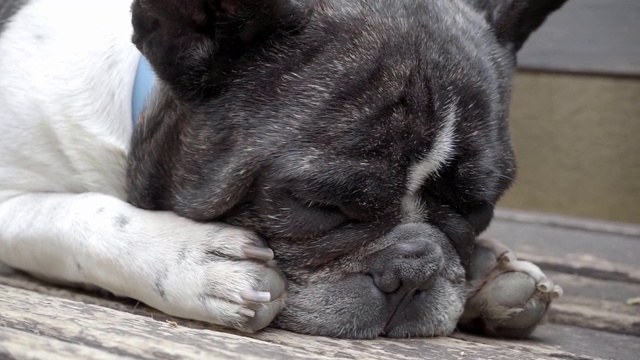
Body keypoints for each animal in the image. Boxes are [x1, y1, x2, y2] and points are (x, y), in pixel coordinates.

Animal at [0, 0, 564, 338]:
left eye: (478, 211)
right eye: (319, 204)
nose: (413, 268)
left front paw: (490, 269)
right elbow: (83, 216)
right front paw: (189, 260)